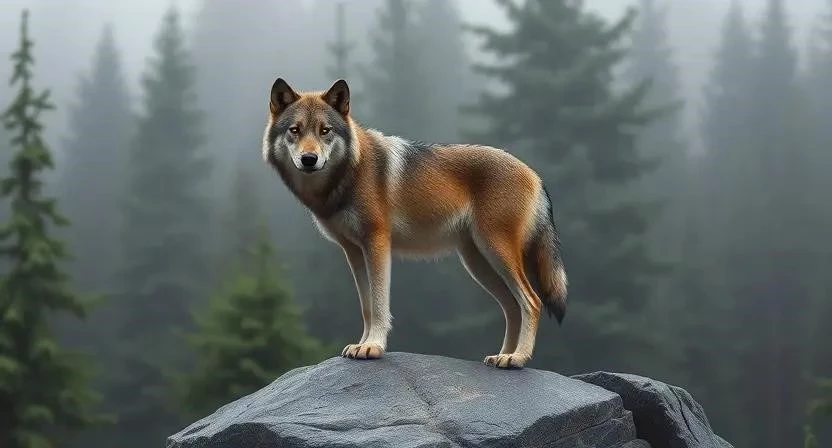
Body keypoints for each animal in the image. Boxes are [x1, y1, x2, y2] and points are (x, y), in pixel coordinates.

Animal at [262, 78, 567, 369]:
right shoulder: (354, 251)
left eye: (325, 131)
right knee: (513, 307)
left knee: (532, 302)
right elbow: (366, 306)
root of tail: (535, 175)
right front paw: (361, 344)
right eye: (295, 130)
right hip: (478, 263)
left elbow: (379, 304)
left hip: (496, 253)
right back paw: (502, 356)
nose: (309, 159)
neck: (349, 173)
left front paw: (373, 346)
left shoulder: (377, 243)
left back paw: (518, 359)